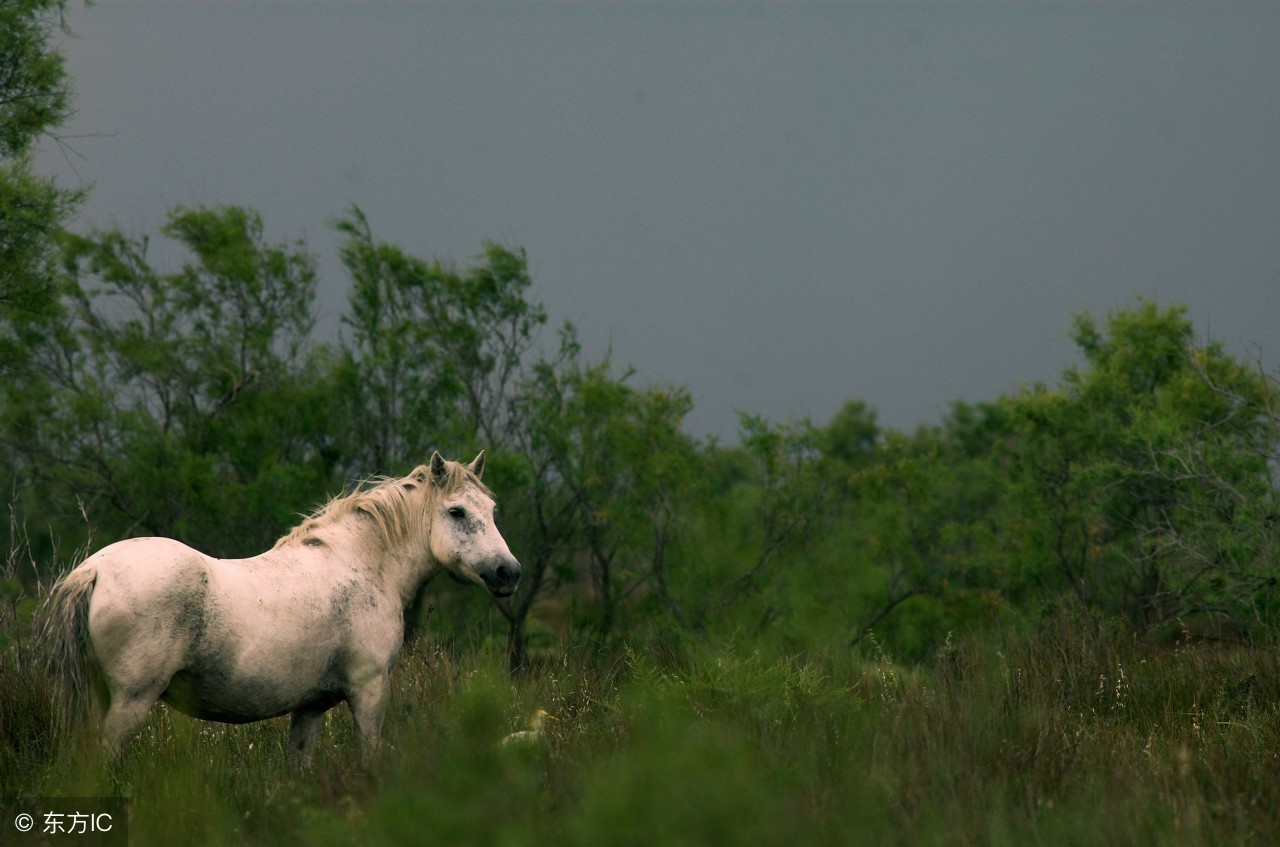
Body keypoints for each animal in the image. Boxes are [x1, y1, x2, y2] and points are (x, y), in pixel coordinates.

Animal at [44, 451, 520, 766]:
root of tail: (94, 570)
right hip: (130, 701)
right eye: (456, 512)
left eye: (493, 509)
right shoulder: (369, 691)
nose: (508, 573)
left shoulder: (309, 708)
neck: (360, 562)